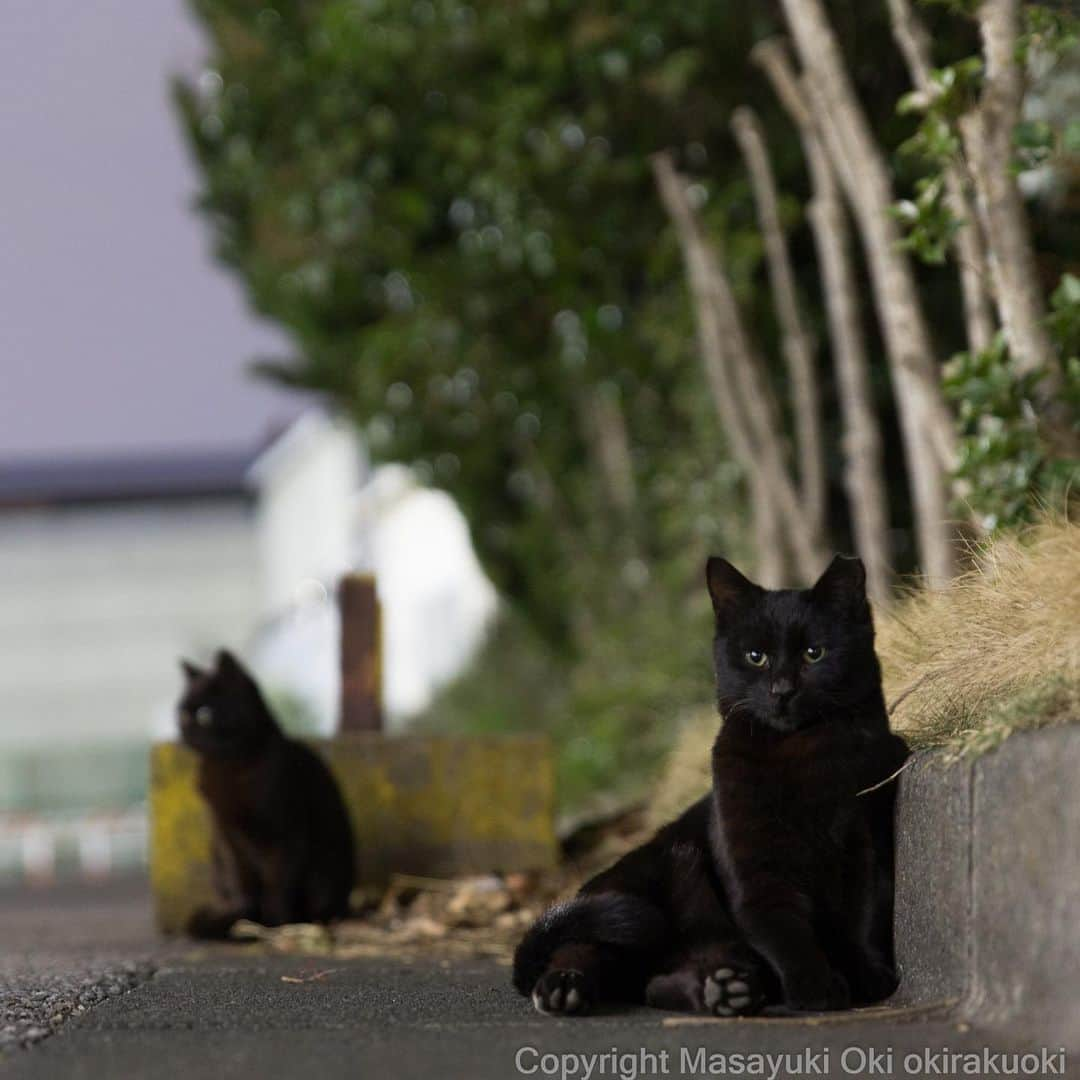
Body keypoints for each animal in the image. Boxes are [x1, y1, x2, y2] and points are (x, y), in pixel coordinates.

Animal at [176, 648, 354, 937]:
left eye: (204, 714)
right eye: (181, 713)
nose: (185, 731)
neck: (227, 765)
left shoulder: (286, 830)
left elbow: (278, 880)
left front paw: (275, 921)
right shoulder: (227, 834)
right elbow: (242, 880)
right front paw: (244, 916)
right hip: (216, 856)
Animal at [509, 552, 907, 1015]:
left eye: (814, 653)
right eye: (755, 656)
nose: (782, 690)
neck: (798, 754)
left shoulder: (865, 843)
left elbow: (861, 918)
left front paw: (865, 975)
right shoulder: (757, 873)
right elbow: (785, 931)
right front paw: (816, 987)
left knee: (663, 982)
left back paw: (729, 990)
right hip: (636, 895)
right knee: (584, 949)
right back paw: (565, 987)